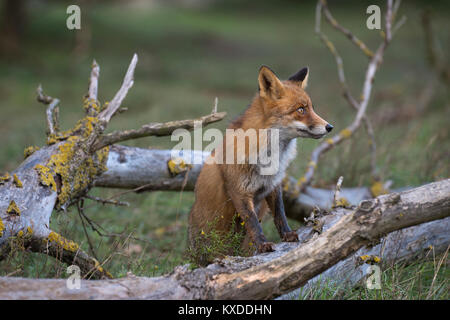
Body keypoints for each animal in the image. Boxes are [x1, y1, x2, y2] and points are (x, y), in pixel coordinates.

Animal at [188, 65, 332, 262]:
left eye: (310, 108)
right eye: (301, 110)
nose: (329, 127)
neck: (270, 155)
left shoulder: (274, 185)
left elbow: (280, 213)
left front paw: (287, 235)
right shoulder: (239, 191)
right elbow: (253, 222)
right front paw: (263, 245)